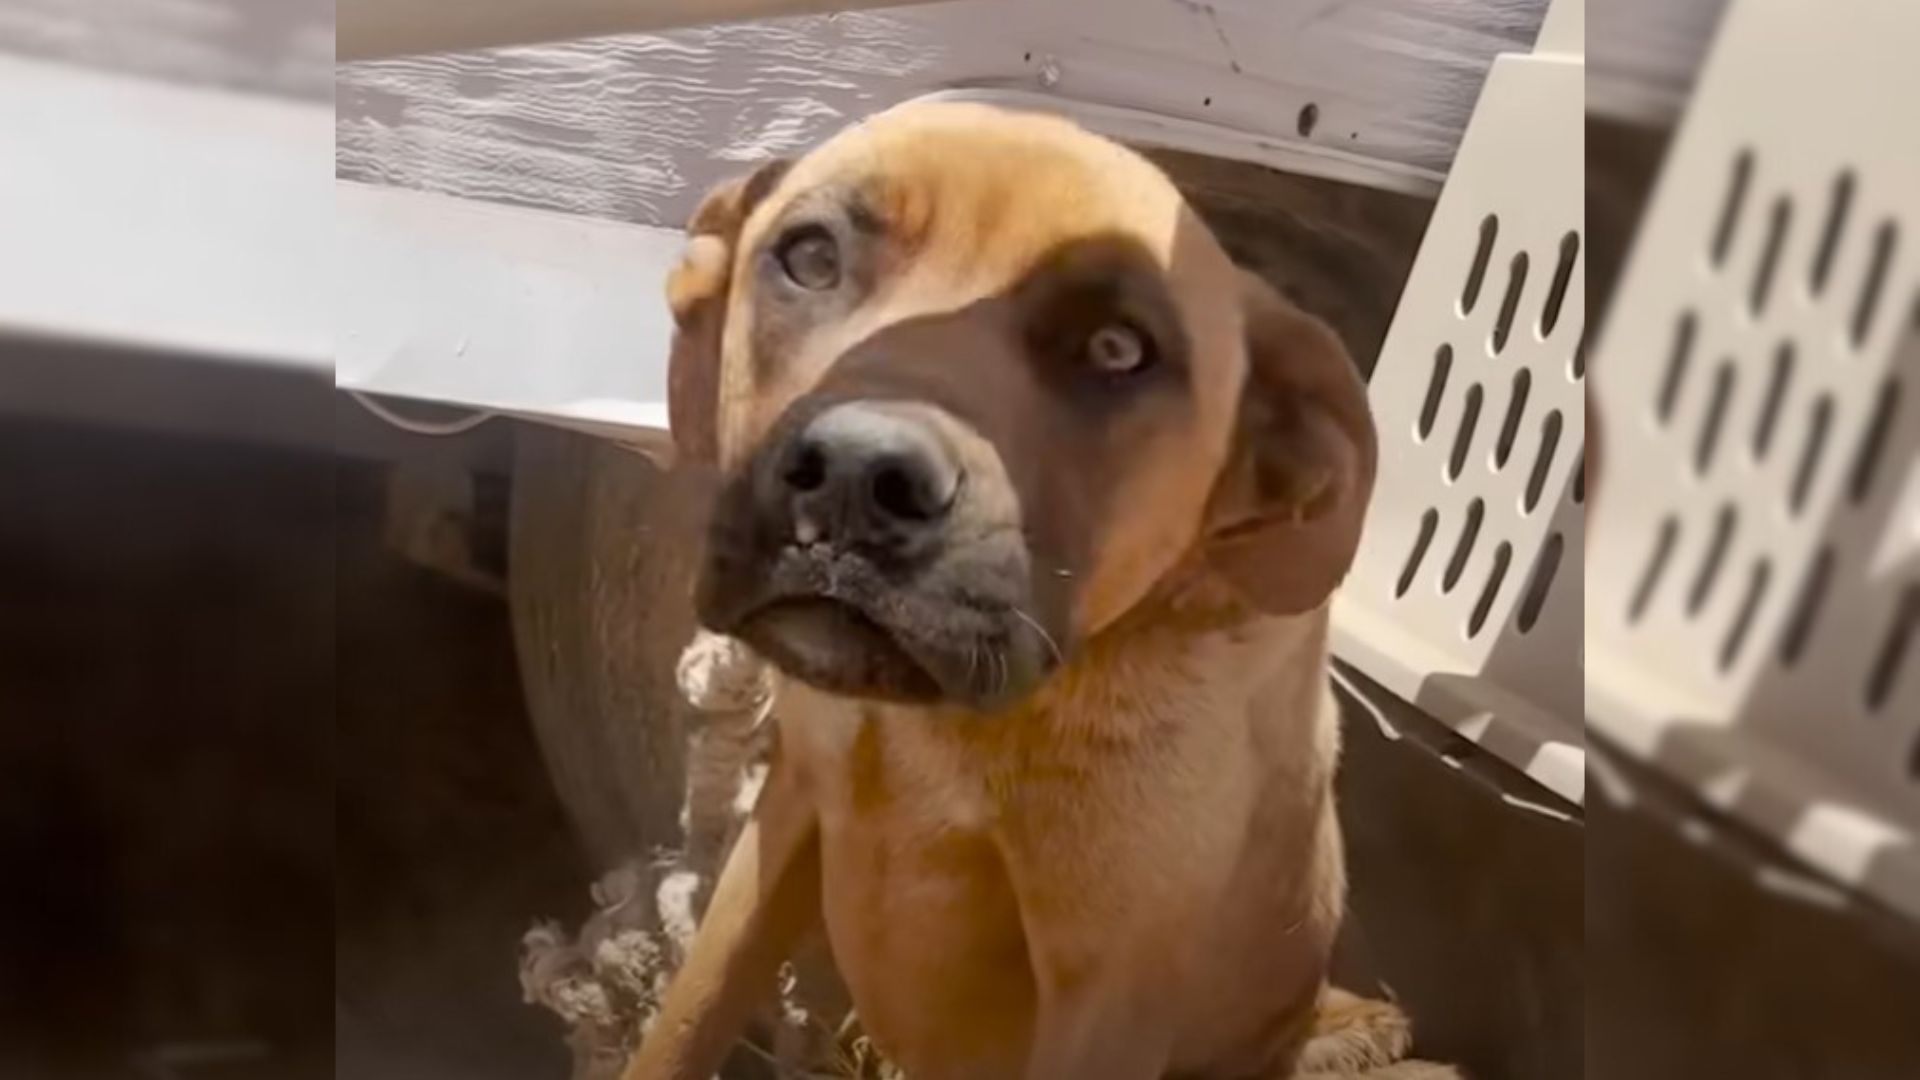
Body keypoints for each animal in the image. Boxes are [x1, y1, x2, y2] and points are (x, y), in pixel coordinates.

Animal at [637, 102, 1405, 1076]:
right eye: (810, 257)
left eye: (1117, 348)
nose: (856, 476)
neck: (957, 728)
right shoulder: (787, 818)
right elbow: (685, 1021)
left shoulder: (1107, 999)